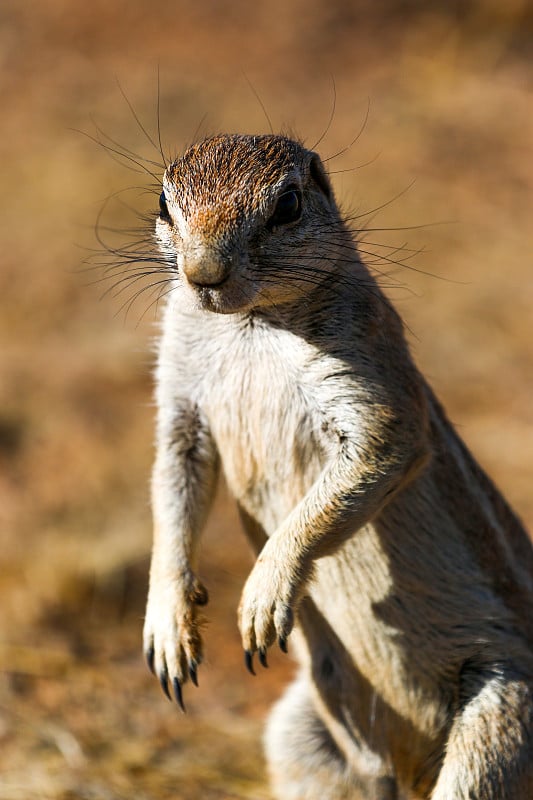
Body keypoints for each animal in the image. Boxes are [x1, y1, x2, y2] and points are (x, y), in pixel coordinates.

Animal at [141, 134, 532, 796]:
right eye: (165, 204)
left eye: (288, 205)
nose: (203, 275)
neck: (248, 324)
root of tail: (410, 766)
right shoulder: (180, 398)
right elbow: (172, 488)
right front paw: (169, 626)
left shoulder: (370, 379)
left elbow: (356, 473)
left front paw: (264, 594)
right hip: (301, 735)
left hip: (503, 717)